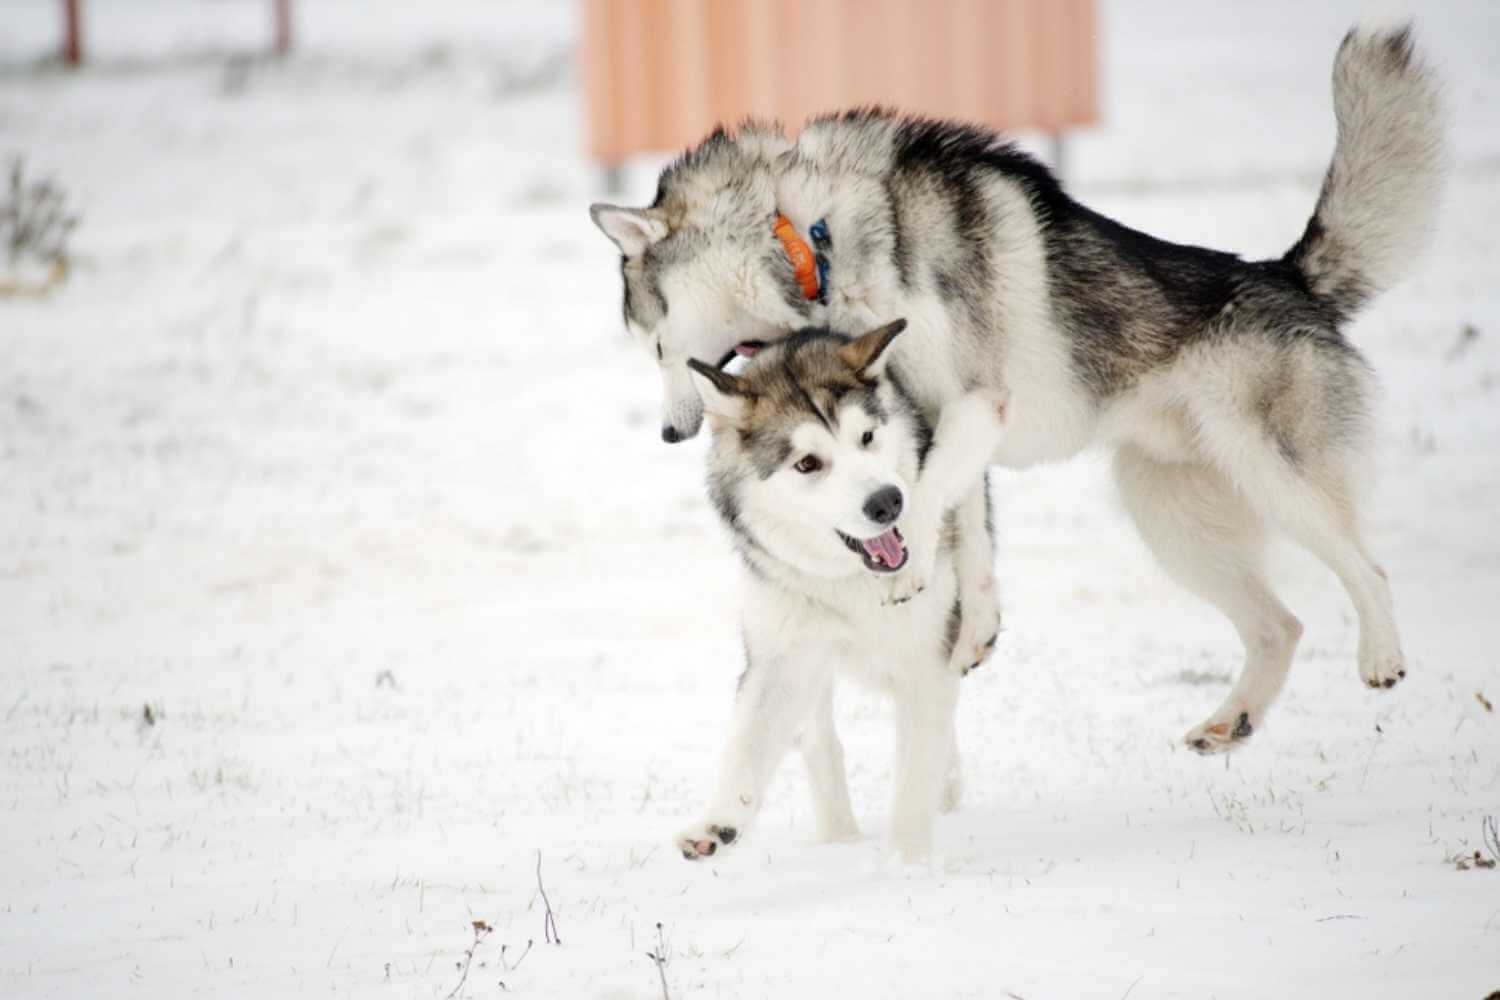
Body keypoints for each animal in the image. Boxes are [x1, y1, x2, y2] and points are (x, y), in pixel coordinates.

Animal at [588, 27, 1440, 749]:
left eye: (657, 346)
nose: (670, 433)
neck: (808, 239)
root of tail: (1291, 276)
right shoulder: (940, 418)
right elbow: (969, 530)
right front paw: (976, 626)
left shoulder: (971, 403)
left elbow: (929, 502)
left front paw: (913, 577)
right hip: (1173, 521)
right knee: (1279, 625)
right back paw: (1230, 721)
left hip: (1271, 470)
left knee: (1366, 566)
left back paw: (1381, 655)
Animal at [681, 320, 1008, 863]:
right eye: (808, 464)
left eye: (867, 437)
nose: (888, 502)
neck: (852, 585)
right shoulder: (781, 656)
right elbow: (749, 744)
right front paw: (718, 823)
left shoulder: (926, 657)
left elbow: (915, 771)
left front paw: (906, 863)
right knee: (819, 739)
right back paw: (839, 835)